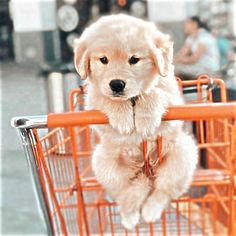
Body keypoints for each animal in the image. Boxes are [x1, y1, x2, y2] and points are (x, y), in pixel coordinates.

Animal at [74, 13, 197, 230]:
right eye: (103, 59)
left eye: (134, 59)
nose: (116, 84)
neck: (131, 100)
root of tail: (145, 170)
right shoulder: (92, 101)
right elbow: (106, 99)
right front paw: (123, 118)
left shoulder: (173, 100)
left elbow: (153, 93)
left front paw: (145, 119)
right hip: (104, 163)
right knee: (127, 192)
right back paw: (130, 215)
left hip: (182, 153)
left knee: (162, 191)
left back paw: (150, 211)